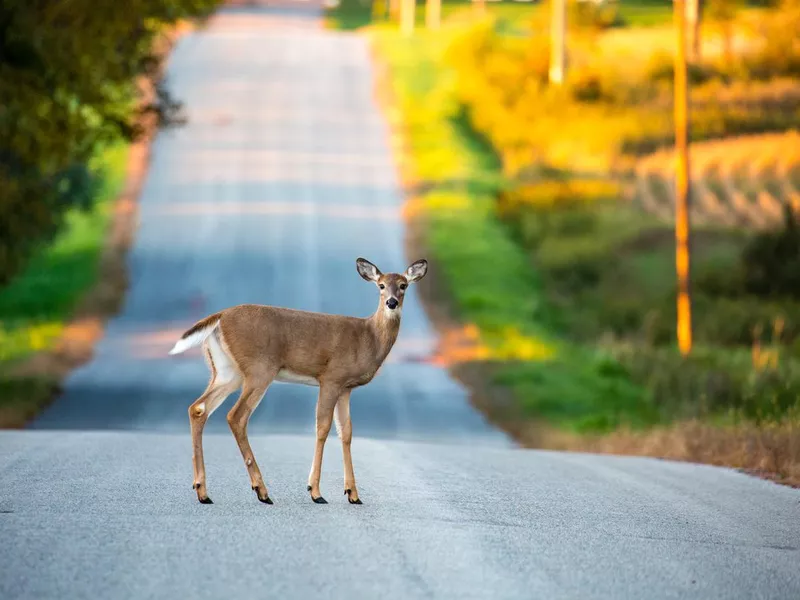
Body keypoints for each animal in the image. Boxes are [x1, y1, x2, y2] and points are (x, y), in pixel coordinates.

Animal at [169, 255, 428, 504]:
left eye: (403, 285)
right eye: (381, 285)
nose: (391, 302)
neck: (369, 337)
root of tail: (219, 317)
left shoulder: (346, 387)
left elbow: (346, 432)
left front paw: (353, 494)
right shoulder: (331, 377)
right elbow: (322, 428)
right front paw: (315, 491)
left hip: (226, 371)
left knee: (198, 408)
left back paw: (203, 492)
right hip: (259, 369)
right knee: (236, 416)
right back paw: (261, 491)